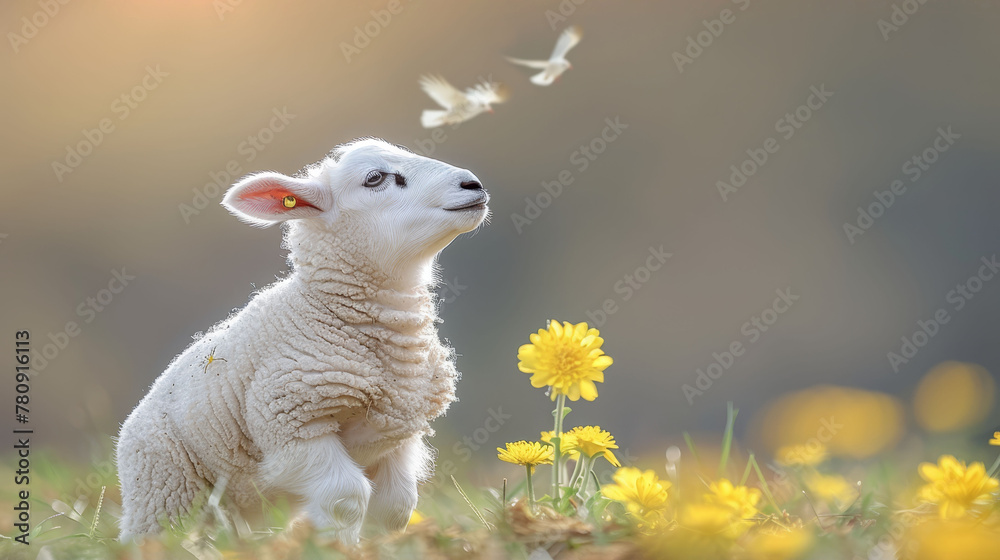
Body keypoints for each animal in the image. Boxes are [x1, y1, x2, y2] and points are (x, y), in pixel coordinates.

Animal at [115, 138, 489, 543]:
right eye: (375, 178)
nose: (473, 185)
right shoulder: (294, 424)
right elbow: (346, 498)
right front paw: (338, 546)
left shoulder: (398, 433)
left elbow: (395, 508)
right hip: (166, 489)